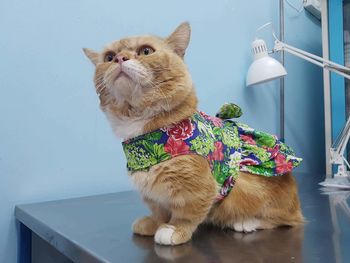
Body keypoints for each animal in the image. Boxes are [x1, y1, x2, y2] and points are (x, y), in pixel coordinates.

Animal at [82, 22, 304, 248]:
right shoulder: (151, 190)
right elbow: (159, 209)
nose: (120, 58)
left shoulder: (197, 187)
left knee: (290, 219)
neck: (145, 137)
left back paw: (246, 222)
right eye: (109, 57)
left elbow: (187, 212)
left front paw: (174, 229)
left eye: (146, 51)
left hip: (246, 192)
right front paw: (154, 222)